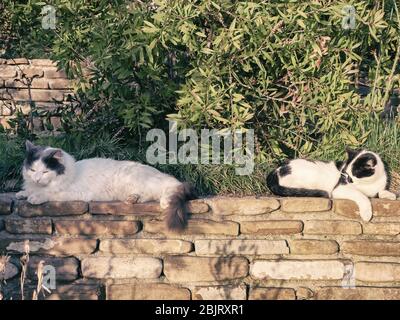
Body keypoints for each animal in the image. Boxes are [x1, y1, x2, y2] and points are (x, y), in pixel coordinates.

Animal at [16, 141, 196, 229]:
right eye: (33, 170)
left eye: (45, 171)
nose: (37, 178)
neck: (72, 172)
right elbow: (27, 190)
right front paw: (22, 193)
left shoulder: (72, 192)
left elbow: (50, 194)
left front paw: (35, 197)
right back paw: (132, 199)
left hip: (147, 181)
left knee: (170, 187)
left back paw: (165, 201)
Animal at [266, 148, 396, 221]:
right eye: (345, 173)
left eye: (353, 174)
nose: (346, 179)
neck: (368, 183)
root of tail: (277, 169)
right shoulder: (340, 189)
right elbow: (362, 196)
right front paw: (367, 214)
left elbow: (381, 191)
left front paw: (390, 195)